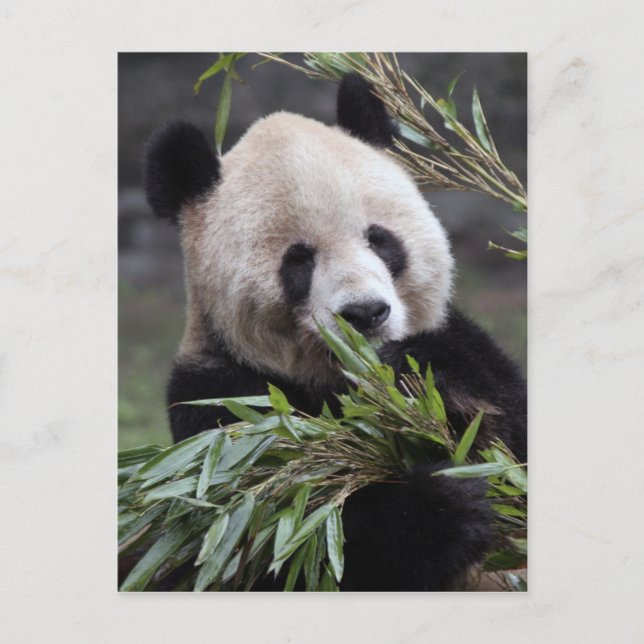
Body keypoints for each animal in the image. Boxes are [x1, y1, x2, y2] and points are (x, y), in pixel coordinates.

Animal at [144, 74, 527, 591]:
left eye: (379, 239)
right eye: (299, 260)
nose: (365, 314)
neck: (340, 379)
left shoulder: (466, 341)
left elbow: (511, 443)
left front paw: (424, 382)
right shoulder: (221, 410)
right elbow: (278, 539)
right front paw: (444, 506)